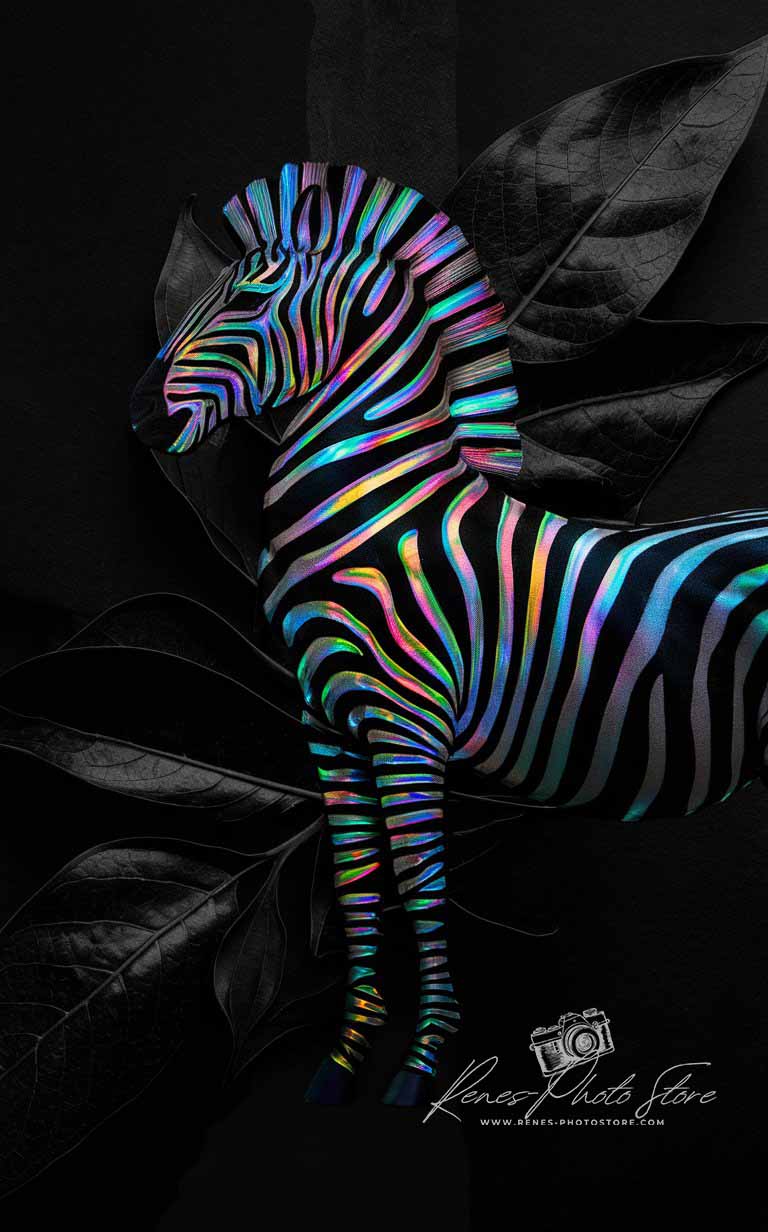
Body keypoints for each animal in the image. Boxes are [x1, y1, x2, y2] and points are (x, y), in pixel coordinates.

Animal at [130, 161, 768, 1107]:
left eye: (246, 297)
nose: (138, 415)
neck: (373, 513)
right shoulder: (325, 721)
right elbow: (358, 879)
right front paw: (344, 1061)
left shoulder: (408, 722)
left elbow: (419, 880)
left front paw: (422, 1064)